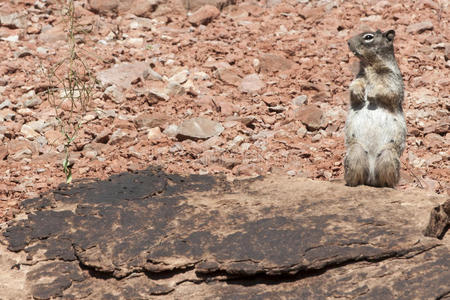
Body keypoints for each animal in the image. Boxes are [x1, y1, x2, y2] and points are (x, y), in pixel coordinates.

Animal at [344, 28, 408, 188]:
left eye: (368, 37)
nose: (348, 41)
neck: (370, 65)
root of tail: (371, 179)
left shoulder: (392, 79)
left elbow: (388, 90)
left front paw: (372, 93)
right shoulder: (359, 76)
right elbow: (354, 86)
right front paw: (359, 93)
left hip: (388, 156)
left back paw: (388, 187)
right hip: (356, 153)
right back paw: (352, 184)